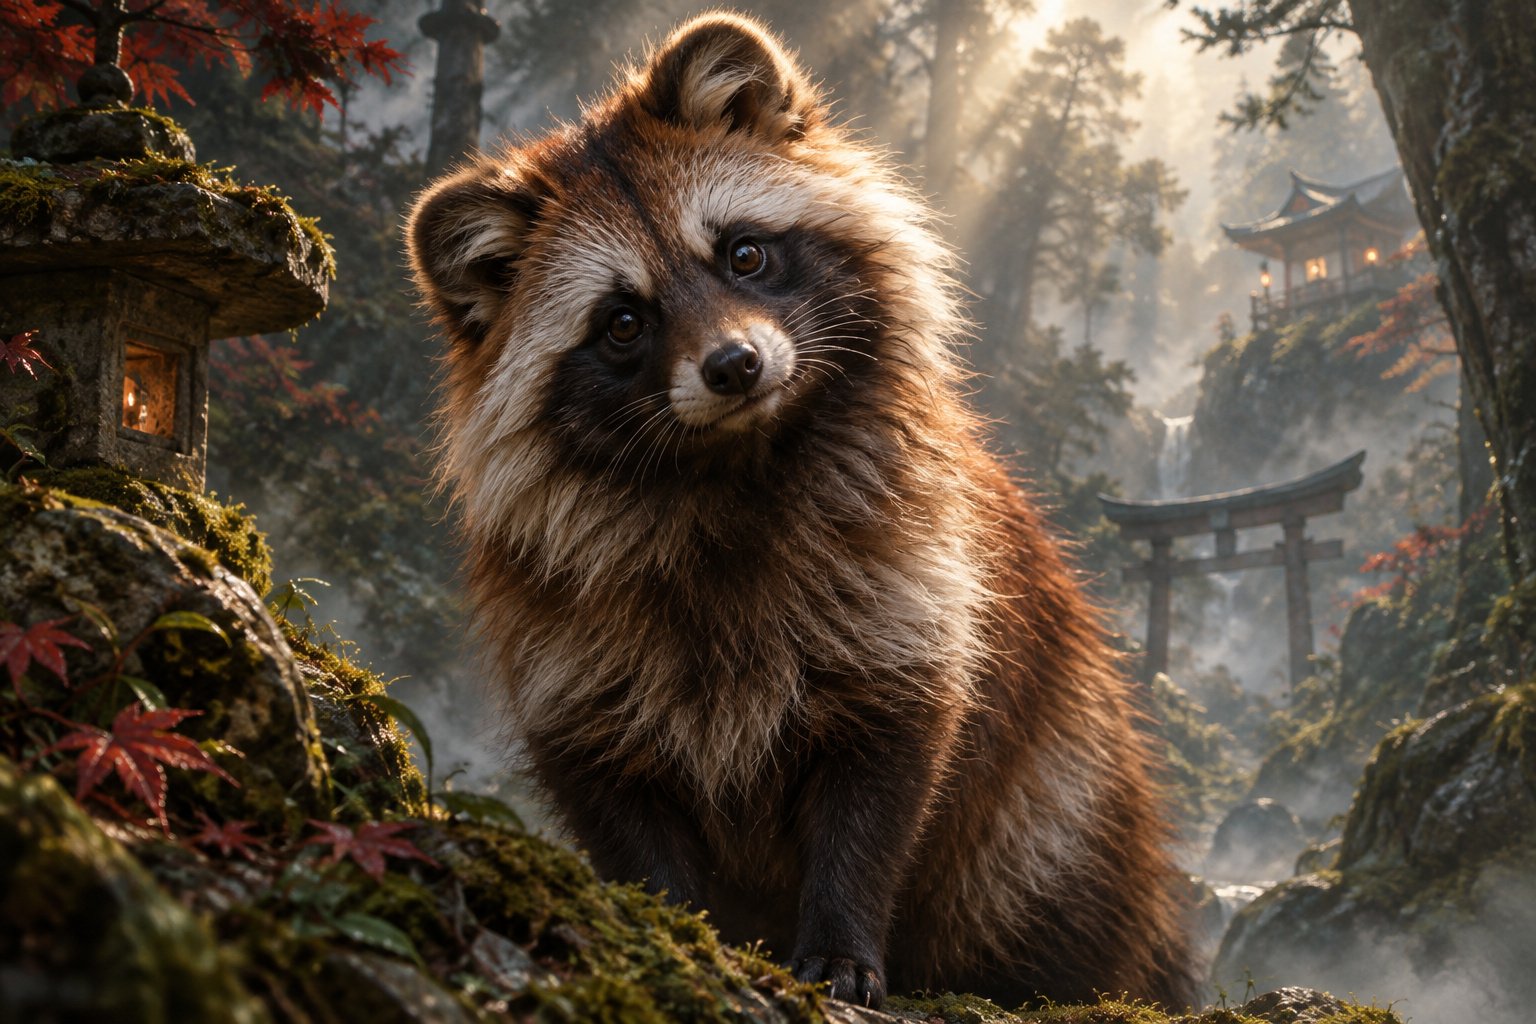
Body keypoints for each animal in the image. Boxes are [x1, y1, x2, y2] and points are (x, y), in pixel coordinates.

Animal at [407, 12, 1193, 1010]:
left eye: (743, 253)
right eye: (623, 322)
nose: (735, 365)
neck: (735, 471)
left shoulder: (910, 596)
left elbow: (880, 786)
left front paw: (841, 937)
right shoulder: (569, 658)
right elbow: (624, 808)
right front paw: (676, 926)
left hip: (1052, 819)